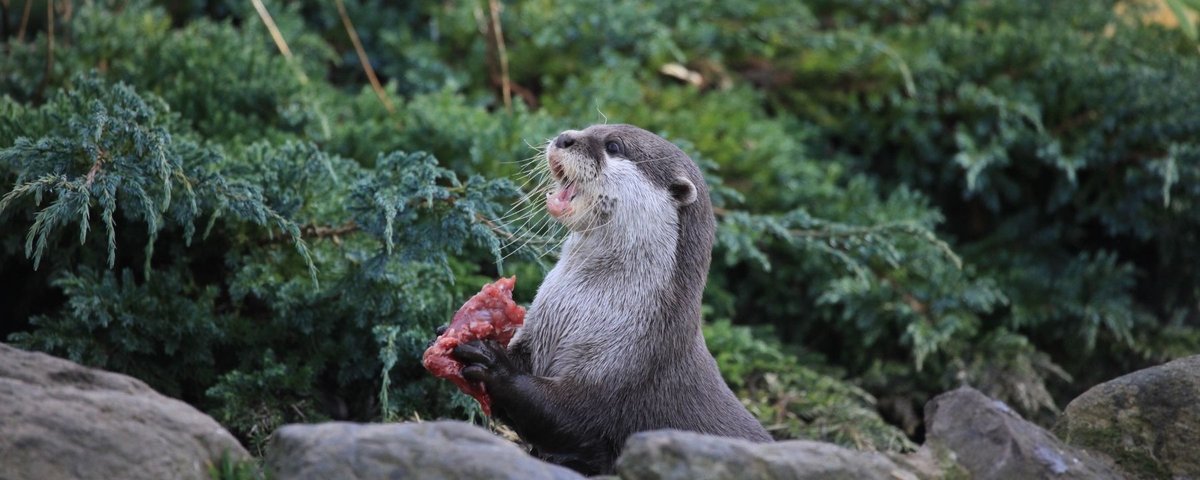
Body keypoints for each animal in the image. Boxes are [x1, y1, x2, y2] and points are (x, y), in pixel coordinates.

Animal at [451, 123, 768, 472]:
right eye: (589, 128)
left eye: (613, 146)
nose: (565, 137)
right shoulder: (538, 332)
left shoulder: (627, 375)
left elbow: (569, 417)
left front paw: (495, 365)